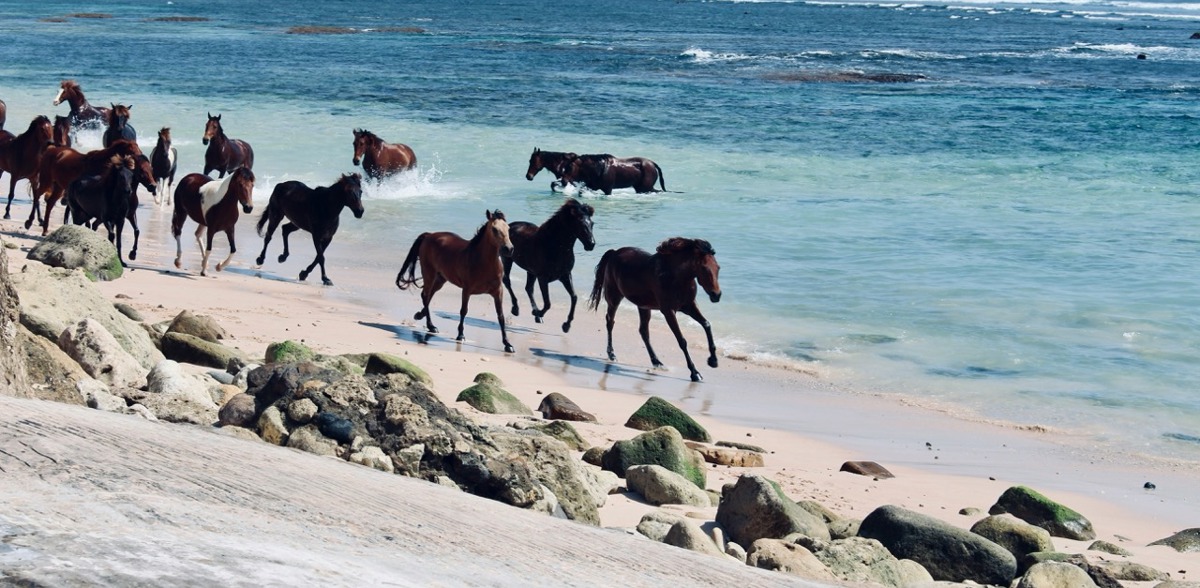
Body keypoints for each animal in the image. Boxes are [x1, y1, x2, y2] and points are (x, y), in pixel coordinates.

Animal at [395, 210, 516, 353]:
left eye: (508, 228)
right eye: (494, 229)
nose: (509, 249)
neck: (483, 262)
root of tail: (429, 235)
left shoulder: (498, 292)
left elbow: (501, 316)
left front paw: (508, 344)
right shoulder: (467, 290)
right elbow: (463, 311)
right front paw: (461, 335)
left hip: (440, 279)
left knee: (428, 296)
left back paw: (423, 318)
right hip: (429, 274)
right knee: (425, 295)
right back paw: (430, 325)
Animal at [501, 198, 596, 333]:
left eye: (592, 224)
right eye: (580, 224)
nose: (591, 244)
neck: (554, 246)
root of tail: (509, 226)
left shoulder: (565, 275)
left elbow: (574, 297)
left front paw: (566, 325)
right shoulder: (543, 278)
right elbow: (548, 303)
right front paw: (538, 313)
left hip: (530, 271)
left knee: (528, 288)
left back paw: (536, 315)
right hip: (507, 260)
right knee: (507, 281)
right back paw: (516, 309)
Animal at [588, 237, 721, 382]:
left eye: (718, 268)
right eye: (704, 268)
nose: (717, 295)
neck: (675, 276)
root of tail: (614, 252)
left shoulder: (689, 306)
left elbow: (706, 324)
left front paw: (713, 361)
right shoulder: (668, 311)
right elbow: (682, 341)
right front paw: (695, 373)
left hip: (643, 306)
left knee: (643, 331)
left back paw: (657, 362)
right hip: (614, 298)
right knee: (610, 322)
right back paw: (612, 354)